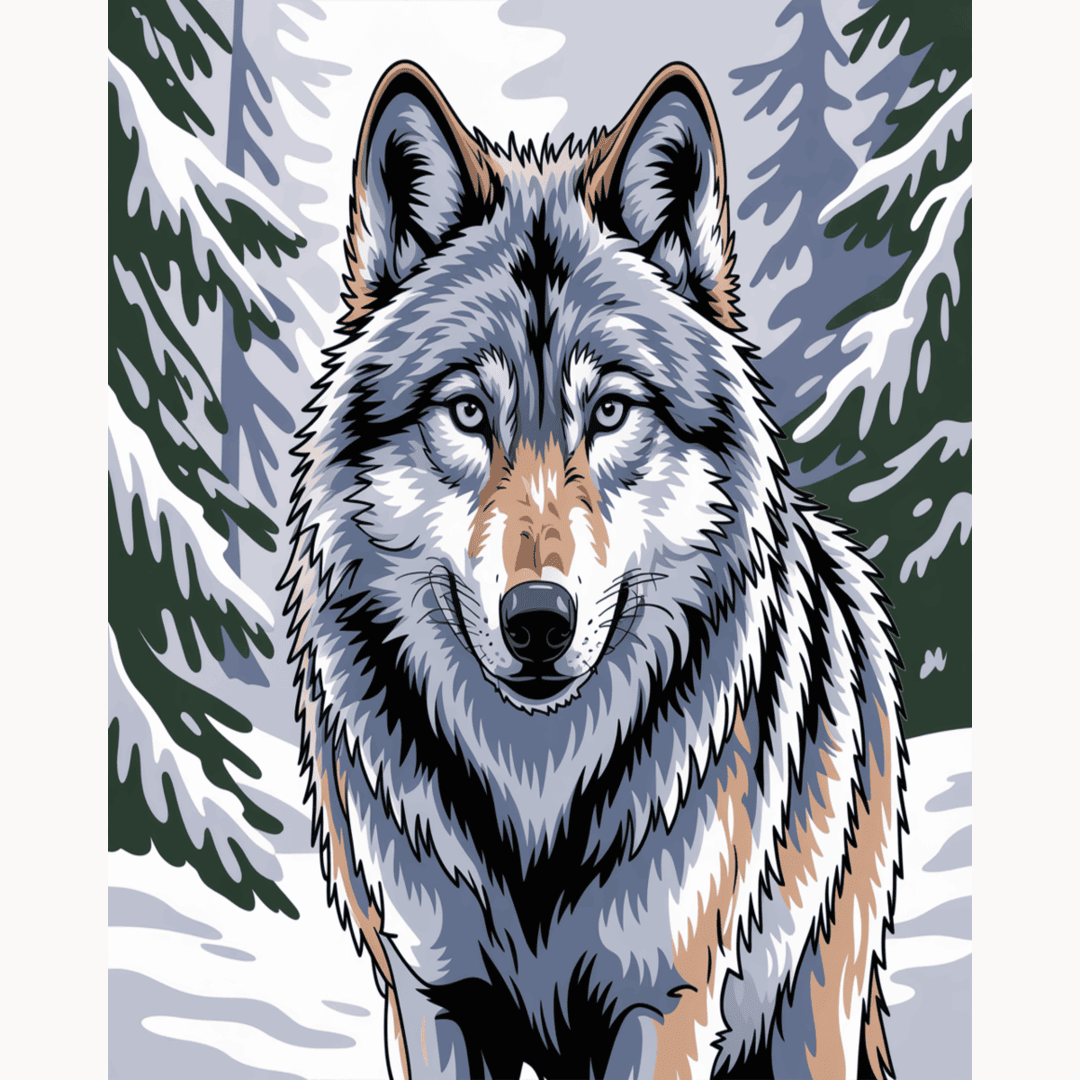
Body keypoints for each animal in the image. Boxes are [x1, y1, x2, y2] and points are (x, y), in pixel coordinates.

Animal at [282, 60, 907, 1080]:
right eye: (467, 412)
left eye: (610, 410)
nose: (538, 619)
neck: (537, 795)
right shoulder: (431, 1001)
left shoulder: (666, 1003)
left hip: (815, 1015)